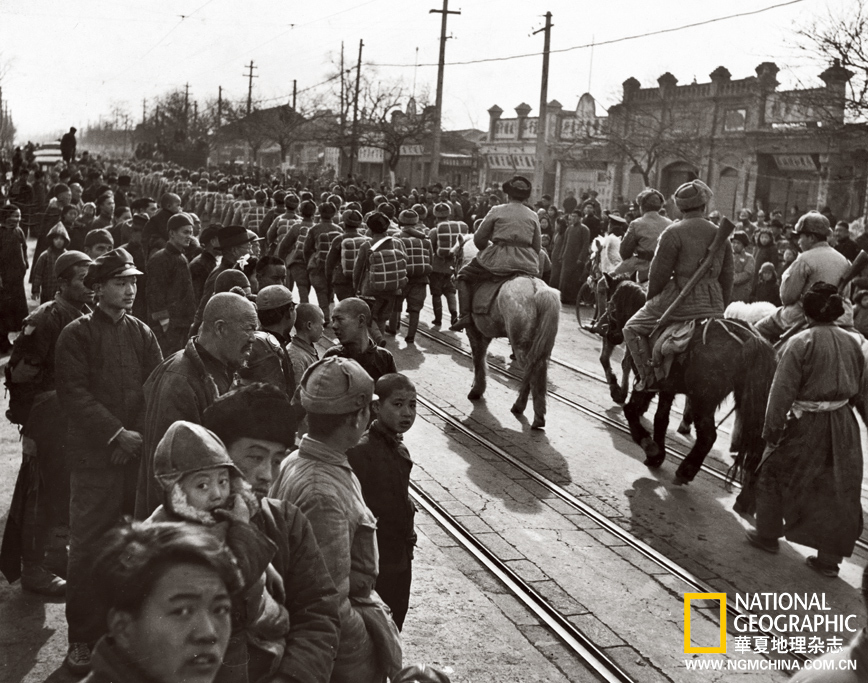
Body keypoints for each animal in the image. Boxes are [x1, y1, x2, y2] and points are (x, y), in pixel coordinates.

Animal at [464, 276, 560, 428]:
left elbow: (478, 359)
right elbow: (480, 358)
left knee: (531, 371)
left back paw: (520, 406)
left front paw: (476, 390)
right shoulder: (484, 334)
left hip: (521, 345)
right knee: (538, 369)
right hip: (540, 347)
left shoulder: (475, 331)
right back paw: (538, 416)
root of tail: (537, 287)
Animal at [600, 278, 776, 486]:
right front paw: (657, 455)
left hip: (704, 400)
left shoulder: (645, 382)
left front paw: (651, 447)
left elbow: (631, 410)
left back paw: (687, 470)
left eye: (611, 304)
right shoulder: (666, 388)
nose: (609, 334)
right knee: (755, 449)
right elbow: (661, 419)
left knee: (708, 436)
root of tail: (753, 340)